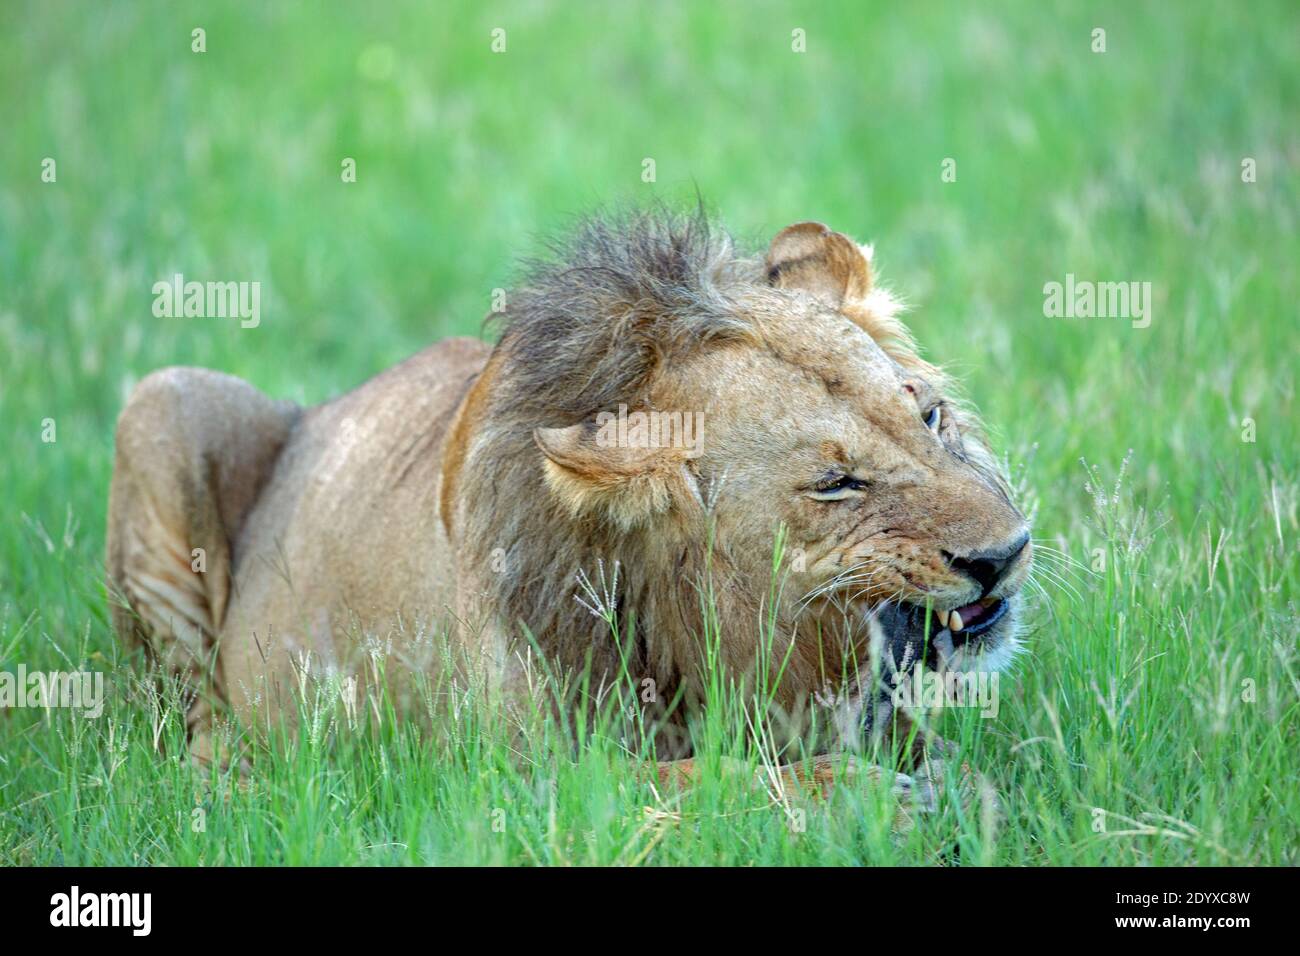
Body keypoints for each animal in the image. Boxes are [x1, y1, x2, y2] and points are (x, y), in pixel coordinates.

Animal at [106, 210, 1032, 809]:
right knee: (193, 736)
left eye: (929, 418)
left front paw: (956, 791)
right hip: (164, 401)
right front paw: (889, 803)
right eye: (836, 483)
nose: (1006, 552)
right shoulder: (515, 784)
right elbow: (719, 781)